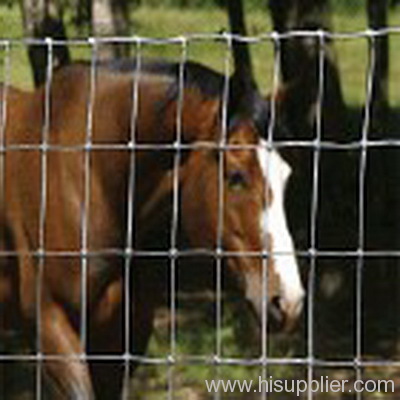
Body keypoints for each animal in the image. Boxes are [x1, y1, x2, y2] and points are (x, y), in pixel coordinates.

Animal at [0, 60, 304, 400]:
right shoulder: (51, 325)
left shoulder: (123, 335)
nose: (288, 302)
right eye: (236, 177)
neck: (90, 179)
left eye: (286, 176)